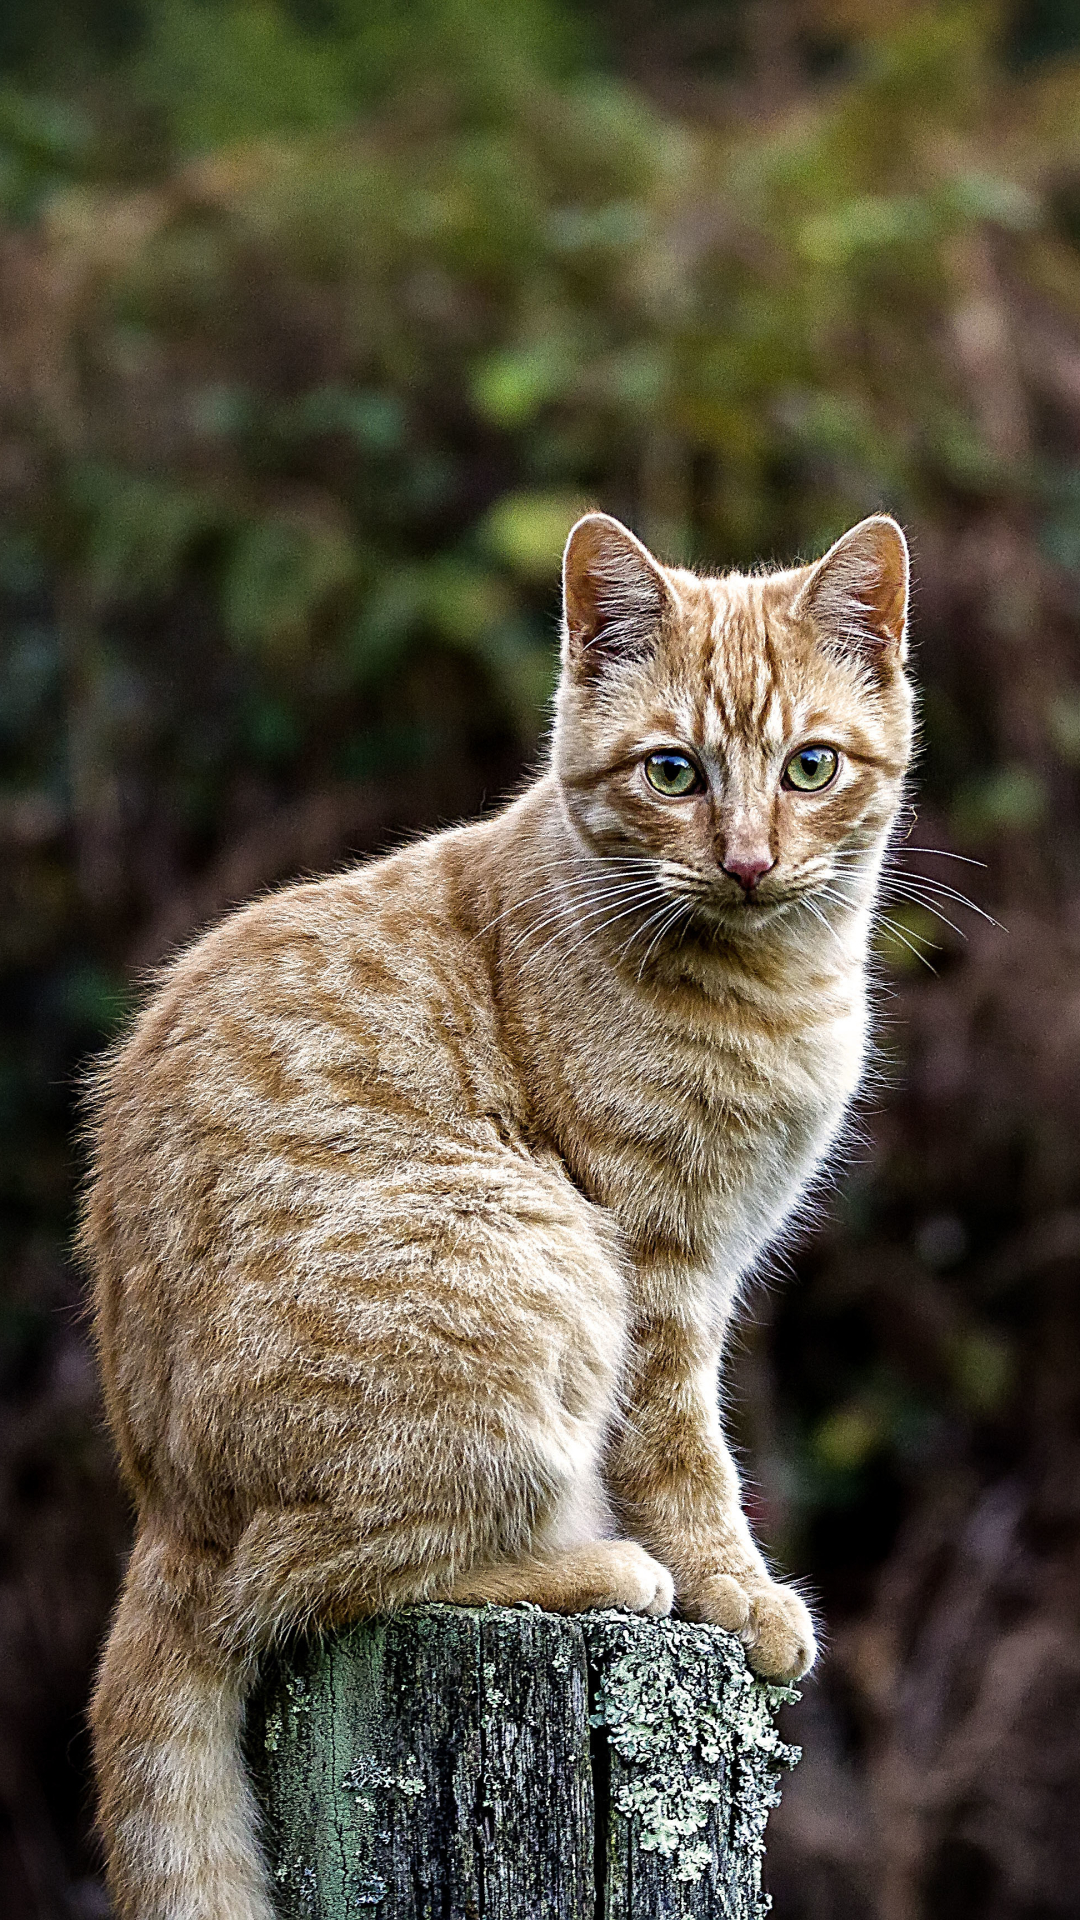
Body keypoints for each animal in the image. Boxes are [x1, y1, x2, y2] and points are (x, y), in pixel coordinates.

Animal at [82, 510, 907, 1920]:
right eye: (674, 772)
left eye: (811, 767)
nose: (748, 860)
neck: (775, 985)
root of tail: (163, 1509)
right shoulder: (660, 1265)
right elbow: (684, 1459)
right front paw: (736, 1592)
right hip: (530, 1260)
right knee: (299, 1584)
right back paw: (603, 1571)